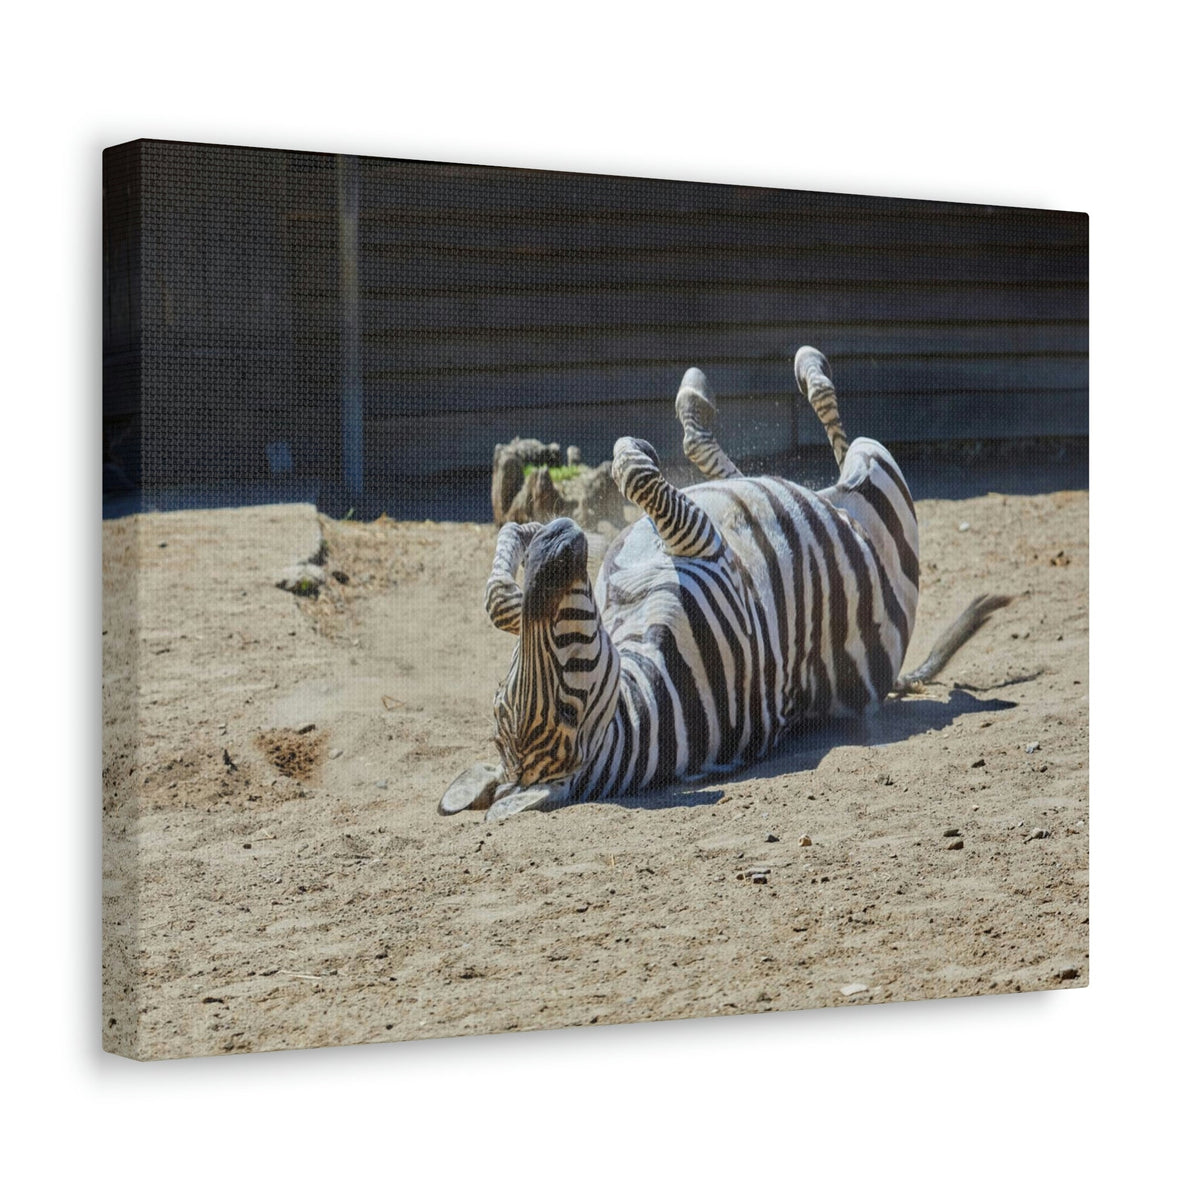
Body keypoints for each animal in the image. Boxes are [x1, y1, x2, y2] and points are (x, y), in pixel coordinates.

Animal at [440, 346, 1011, 821]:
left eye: (506, 692)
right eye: (565, 708)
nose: (558, 540)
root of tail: (890, 678)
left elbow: (499, 600)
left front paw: (521, 536)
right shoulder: (705, 546)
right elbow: (632, 467)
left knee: (732, 464)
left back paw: (702, 394)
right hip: (881, 486)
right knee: (838, 445)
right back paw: (806, 369)